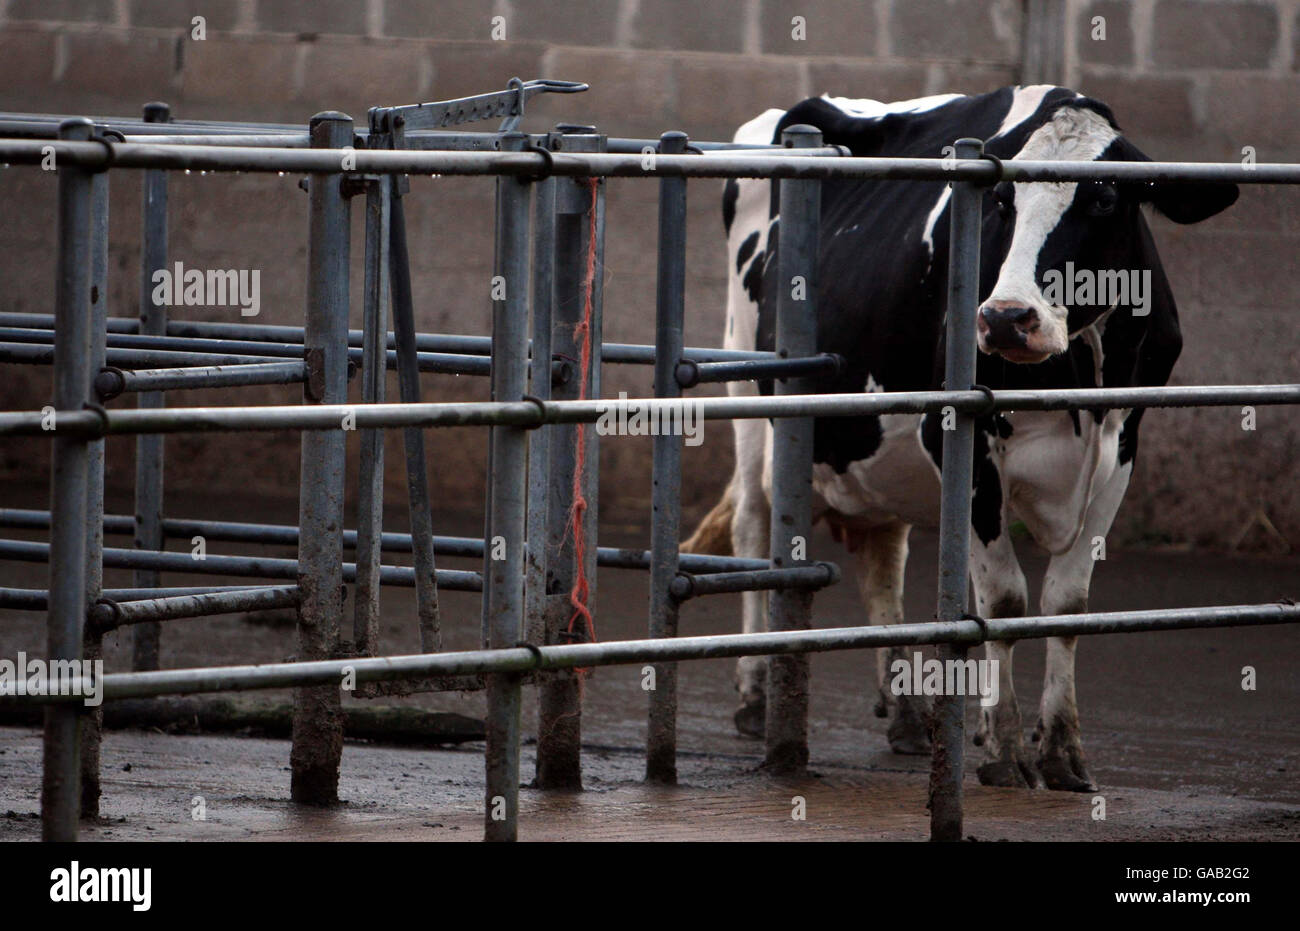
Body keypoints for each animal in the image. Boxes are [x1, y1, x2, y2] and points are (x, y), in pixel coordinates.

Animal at [681, 83, 1237, 790]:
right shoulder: (955, 437)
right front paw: (1004, 749)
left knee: (882, 562)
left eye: (1105, 198)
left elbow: (1068, 601)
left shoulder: (1122, 443)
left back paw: (907, 716)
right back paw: (756, 694)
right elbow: (1003, 597)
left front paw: (1061, 750)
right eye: (1000, 200)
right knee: (754, 522)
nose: (1005, 318)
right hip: (753, 393)